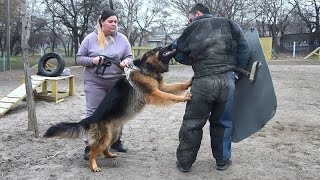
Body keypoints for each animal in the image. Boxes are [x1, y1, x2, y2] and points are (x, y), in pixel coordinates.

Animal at [43, 46, 191, 172]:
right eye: (159, 48)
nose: (172, 45)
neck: (146, 68)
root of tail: (91, 118)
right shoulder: (154, 93)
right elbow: (171, 96)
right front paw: (184, 97)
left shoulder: (161, 87)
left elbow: (177, 86)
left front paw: (189, 82)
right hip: (105, 138)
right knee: (93, 152)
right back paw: (94, 166)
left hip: (113, 136)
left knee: (103, 149)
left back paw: (109, 155)